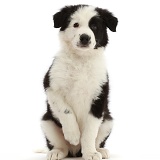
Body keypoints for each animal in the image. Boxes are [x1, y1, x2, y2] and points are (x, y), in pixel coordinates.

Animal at [41, 4, 118, 160]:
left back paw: (99, 150)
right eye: (75, 25)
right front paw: (73, 135)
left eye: (94, 26)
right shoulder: (51, 86)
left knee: (97, 139)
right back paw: (57, 151)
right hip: (46, 122)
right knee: (62, 147)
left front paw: (90, 153)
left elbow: (90, 132)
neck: (81, 60)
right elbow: (65, 110)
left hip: (108, 121)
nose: (85, 37)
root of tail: (75, 152)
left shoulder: (99, 97)